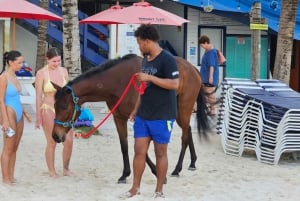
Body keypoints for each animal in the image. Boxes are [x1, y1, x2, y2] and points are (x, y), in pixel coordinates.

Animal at [52, 53, 209, 184]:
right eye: (54, 106)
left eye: (64, 107)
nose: (55, 136)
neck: (119, 82)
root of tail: (193, 69)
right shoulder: (119, 118)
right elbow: (124, 146)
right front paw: (124, 175)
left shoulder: (138, 119)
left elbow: (141, 149)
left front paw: (158, 174)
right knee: (188, 130)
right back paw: (192, 162)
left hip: (184, 108)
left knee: (184, 136)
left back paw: (177, 169)